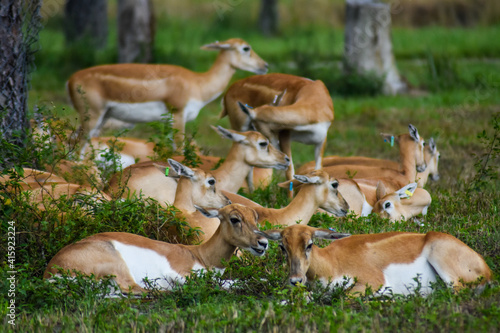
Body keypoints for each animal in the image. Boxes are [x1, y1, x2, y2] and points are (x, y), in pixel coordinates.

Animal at [44, 202, 270, 294]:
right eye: (235, 218)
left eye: (255, 217)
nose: (263, 243)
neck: (200, 256)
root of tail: (52, 271)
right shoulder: (178, 274)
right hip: (119, 267)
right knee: (137, 290)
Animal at [68, 37, 268, 156]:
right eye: (246, 48)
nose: (265, 65)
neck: (197, 83)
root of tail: (70, 80)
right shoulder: (178, 114)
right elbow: (179, 150)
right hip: (92, 116)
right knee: (77, 146)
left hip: (102, 118)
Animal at [262, 224, 492, 294]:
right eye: (282, 246)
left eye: (309, 244)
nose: (295, 280)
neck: (331, 262)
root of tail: (487, 272)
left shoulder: (372, 281)